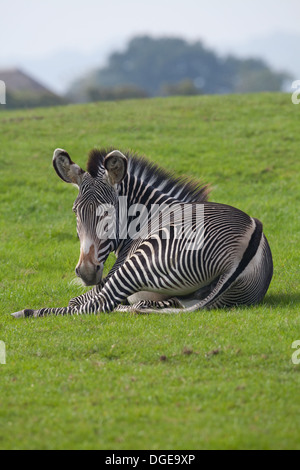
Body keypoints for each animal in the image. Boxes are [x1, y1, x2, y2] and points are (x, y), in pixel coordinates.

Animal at [10, 147, 274, 318]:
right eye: (75, 212)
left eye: (109, 213)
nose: (86, 272)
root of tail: (248, 241)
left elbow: (79, 299)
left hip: (146, 258)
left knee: (98, 305)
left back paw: (27, 312)